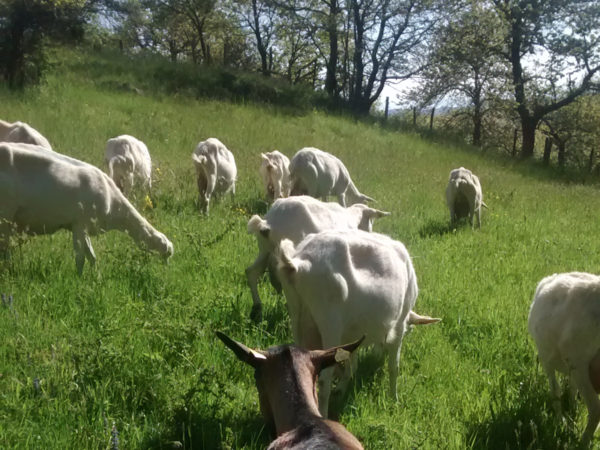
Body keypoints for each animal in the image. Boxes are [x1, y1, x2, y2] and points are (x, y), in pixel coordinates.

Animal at [0, 142, 173, 274]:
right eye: (167, 254)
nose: (166, 270)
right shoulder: (79, 225)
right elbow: (81, 257)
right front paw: (79, 278)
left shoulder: (84, 227)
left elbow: (91, 256)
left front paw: (96, 277)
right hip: (5, 216)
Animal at [274, 230, 438, 416]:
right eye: (409, 330)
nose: (378, 357)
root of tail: (299, 263)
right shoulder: (399, 324)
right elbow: (393, 367)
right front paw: (394, 399)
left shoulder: (351, 335)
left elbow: (351, 365)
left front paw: (341, 389)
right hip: (330, 323)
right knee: (324, 379)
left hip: (297, 317)